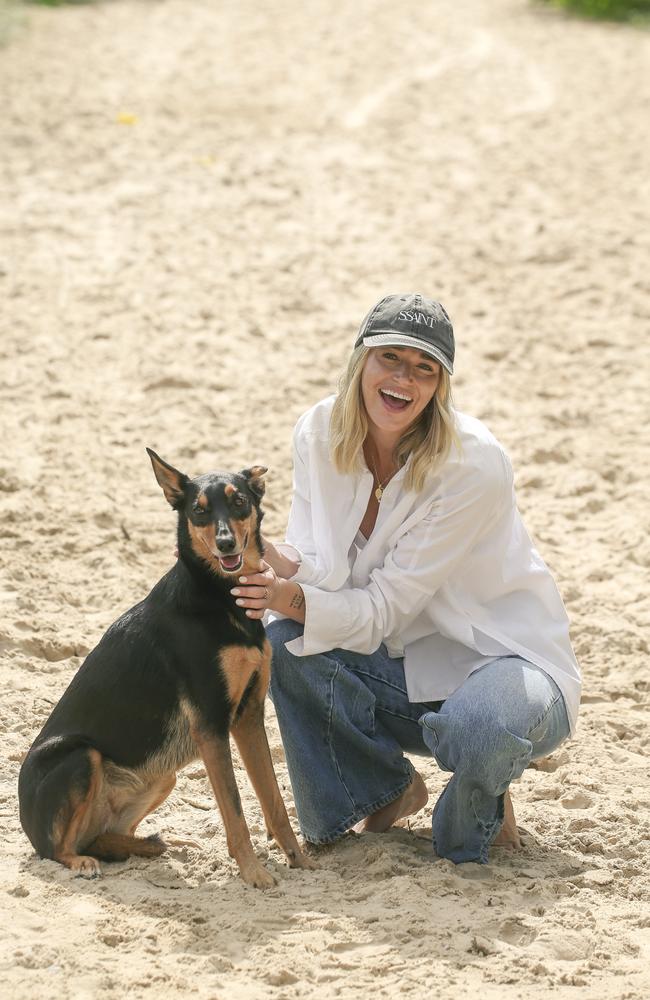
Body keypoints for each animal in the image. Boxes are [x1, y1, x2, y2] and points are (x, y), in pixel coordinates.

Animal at [18, 450, 314, 888]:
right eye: (199, 510)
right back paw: (84, 861)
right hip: (81, 756)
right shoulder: (211, 726)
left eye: (239, 501)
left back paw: (149, 846)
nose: (225, 542)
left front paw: (301, 860)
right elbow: (236, 810)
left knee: (100, 837)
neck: (219, 595)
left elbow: (274, 799)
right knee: (57, 849)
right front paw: (253, 873)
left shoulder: (248, 716)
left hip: (161, 775)